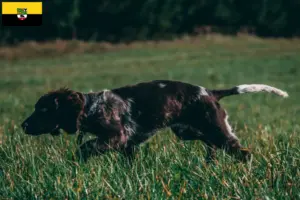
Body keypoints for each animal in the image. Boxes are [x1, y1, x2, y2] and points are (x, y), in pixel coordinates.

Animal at [21, 79, 288, 162]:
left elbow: (86, 147)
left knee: (243, 152)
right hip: (189, 131)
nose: (23, 125)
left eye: (43, 110)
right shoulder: (127, 147)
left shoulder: (116, 137)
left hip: (215, 130)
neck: (90, 107)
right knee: (213, 146)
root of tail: (210, 93)